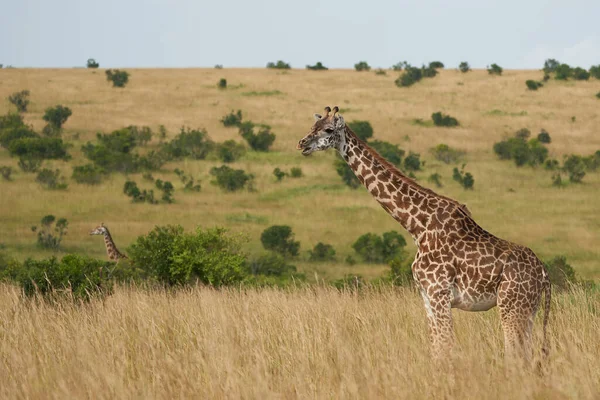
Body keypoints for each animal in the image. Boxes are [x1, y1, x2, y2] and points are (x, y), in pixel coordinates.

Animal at [294, 105, 548, 360]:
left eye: (328, 129)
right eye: (312, 126)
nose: (302, 143)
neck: (417, 226)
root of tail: (544, 275)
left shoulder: (439, 293)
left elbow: (446, 345)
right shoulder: (426, 296)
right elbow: (436, 348)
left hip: (511, 305)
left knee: (516, 354)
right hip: (528, 310)